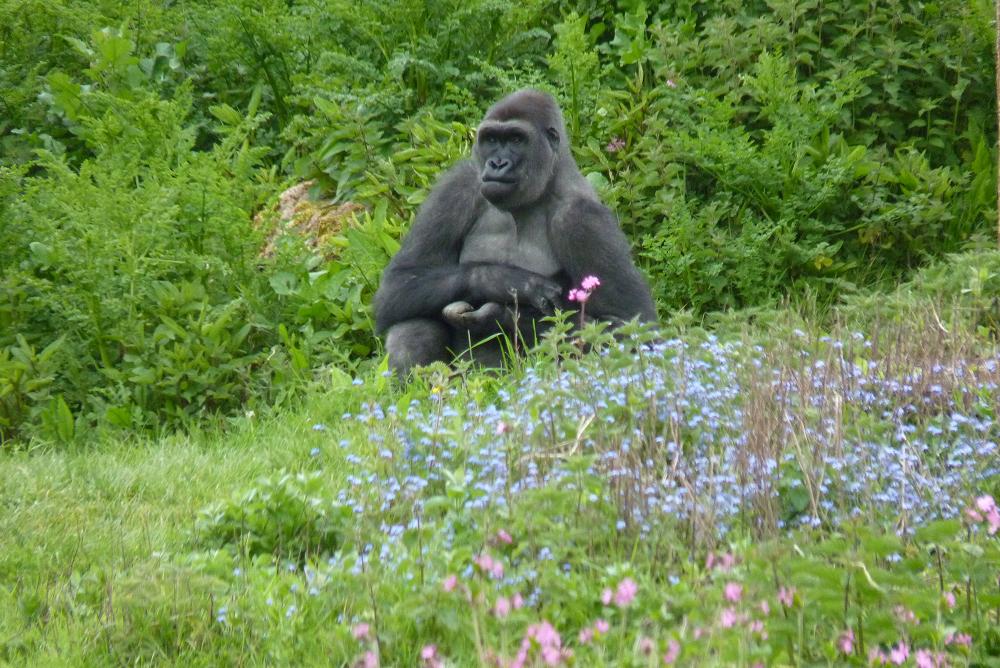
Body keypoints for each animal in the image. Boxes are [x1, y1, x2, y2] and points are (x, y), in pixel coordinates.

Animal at [374, 89, 656, 376]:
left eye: (516, 139)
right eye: (492, 139)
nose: (497, 163)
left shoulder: (583, 219)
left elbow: (631, 325)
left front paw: (496, 315)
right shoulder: (458, 185)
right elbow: (398, 282)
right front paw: (502, 281)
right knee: (411, 318)